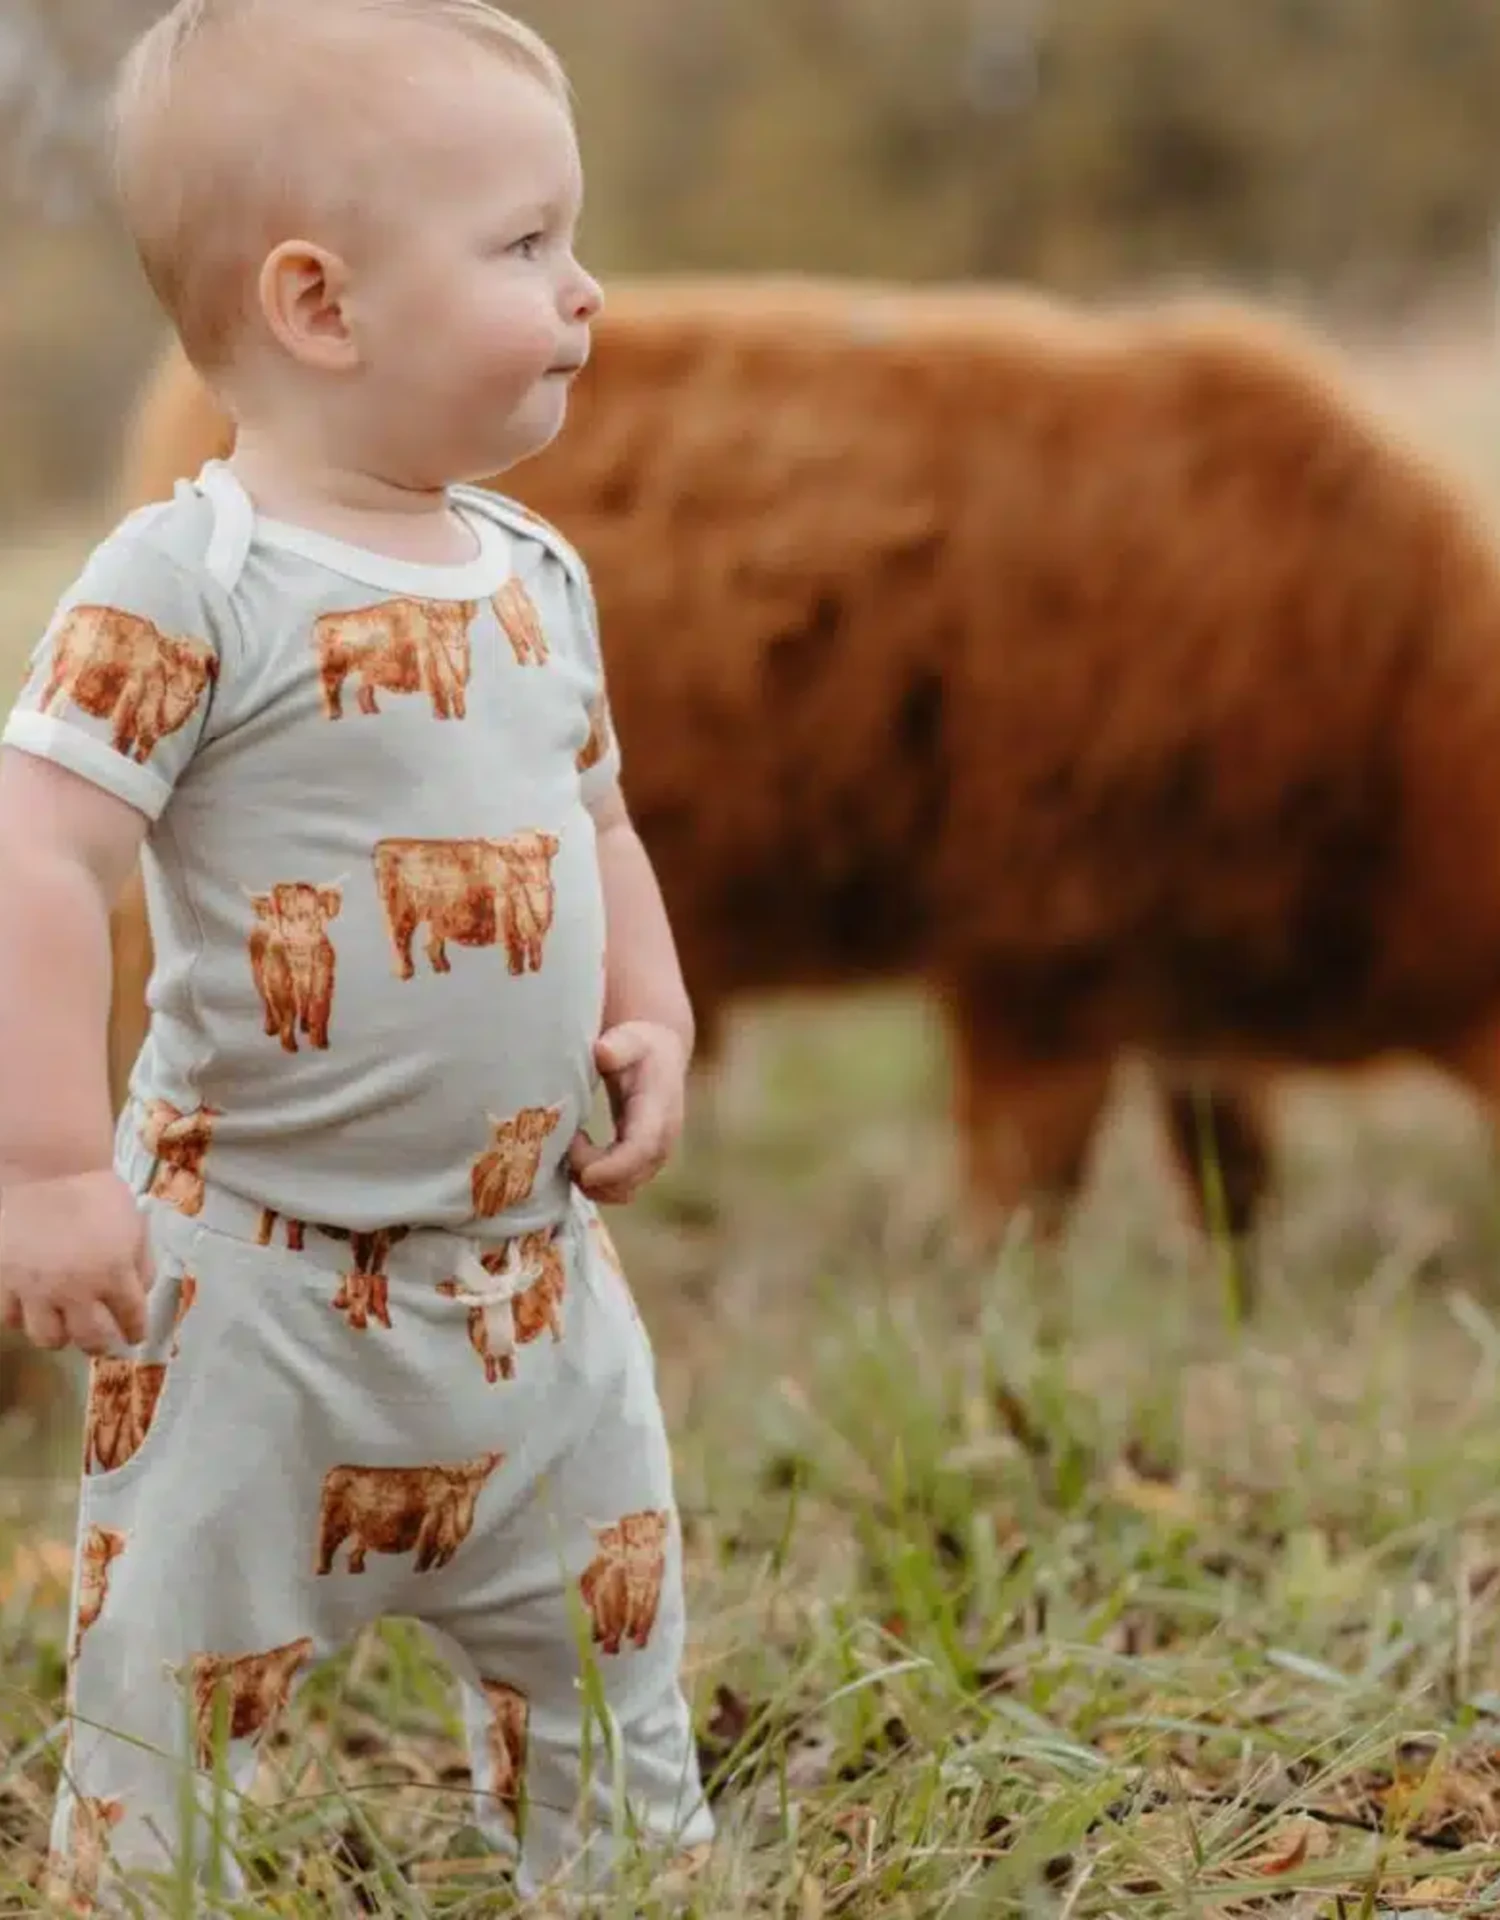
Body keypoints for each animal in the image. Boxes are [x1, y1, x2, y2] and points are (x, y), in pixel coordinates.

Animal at [41, 603, 218, 763]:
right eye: (180, 657)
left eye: (206, 665)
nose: (189, 692)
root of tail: (75, 611)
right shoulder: (126, 717)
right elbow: (118, 746)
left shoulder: (146, 737)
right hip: (66, 679)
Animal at [246, 879, 342, 1052]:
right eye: (283, 917)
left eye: (315, 916)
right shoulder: (277, 981)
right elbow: (288, 1012)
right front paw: (290, 1047)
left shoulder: (323, 977)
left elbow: (319, 1008)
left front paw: (321, 1043)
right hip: (258, 975)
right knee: (267, 1002)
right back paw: (271, 1028)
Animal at [314, 596, 476, 720]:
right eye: (440, 625)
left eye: (463, 622)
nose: (457, 641)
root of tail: (322, 621)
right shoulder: (433, 680)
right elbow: (440, 701)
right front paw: (442, 717)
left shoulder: (456, 685)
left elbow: (457, 698)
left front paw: (461, 715)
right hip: (335, 669)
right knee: (331, 689)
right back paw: (334, 715)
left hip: (366, 672)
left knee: (363, 690)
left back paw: (372, 712)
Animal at [315, 1451, 505, 1576]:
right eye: (470, 1465)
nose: (495, 1455)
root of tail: (333, 1472)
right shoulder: (431, 1526)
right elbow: (425, 1557)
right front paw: (420, 1571)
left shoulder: (450, 1540)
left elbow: (443, 1557)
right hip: (333, 1520)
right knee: (326, 1544)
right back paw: (322, 1571)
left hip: (362, 1528)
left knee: (355, 1551)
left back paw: (356, 1570)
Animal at [372, 832, 560, 982]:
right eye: (514, 855)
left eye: (535, 853)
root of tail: (384, 845)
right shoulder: (506, 909)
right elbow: (515, 941)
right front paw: (516, 971)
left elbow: (532, 944)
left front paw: (532, 967)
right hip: (401, 908)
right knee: (401, 938)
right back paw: (405, 973)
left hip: (437, 913)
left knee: (432, 943)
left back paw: (442, 968)